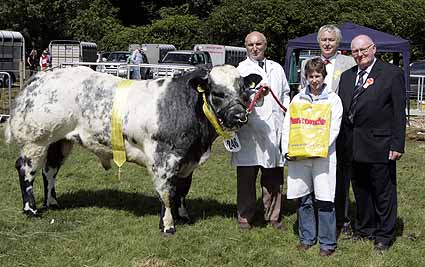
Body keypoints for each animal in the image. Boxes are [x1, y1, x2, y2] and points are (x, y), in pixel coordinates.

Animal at [4, 66, 260, 236]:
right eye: (217, 93)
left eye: (244, 91)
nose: (240, 116)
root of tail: (38, 77)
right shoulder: (163, 159)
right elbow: (166, 193)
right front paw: (168, 225)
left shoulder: (188, 162)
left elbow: (182, 191)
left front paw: (184, 215)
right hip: (35, 140)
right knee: (26, 170)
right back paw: (31, 209)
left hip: (60, 141)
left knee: (50, 170)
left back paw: (53, 202)